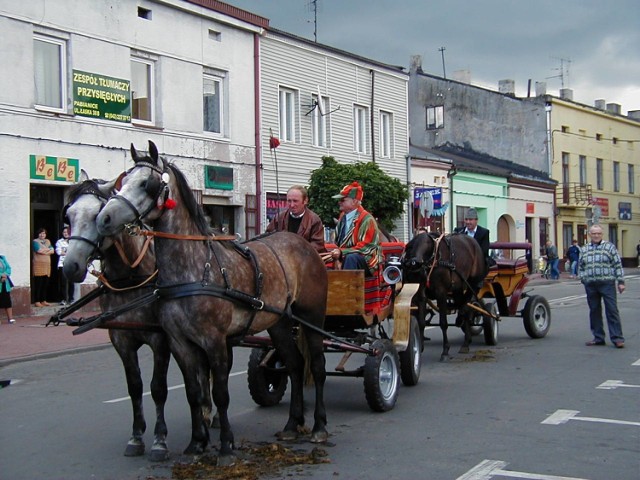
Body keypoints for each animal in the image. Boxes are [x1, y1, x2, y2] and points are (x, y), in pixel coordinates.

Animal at [402, 232, 482, 360]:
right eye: (412, 245)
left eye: (428, 244)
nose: (415, 263)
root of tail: (472, 241)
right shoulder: (421, 295)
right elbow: (421, 322)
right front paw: (420, 346)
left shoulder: (441, 294)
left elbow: (443, 323)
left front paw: (445, 350)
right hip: (457, 288)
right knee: (462, 305)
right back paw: (466, 339)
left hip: (472, 282)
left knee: (466, 305)